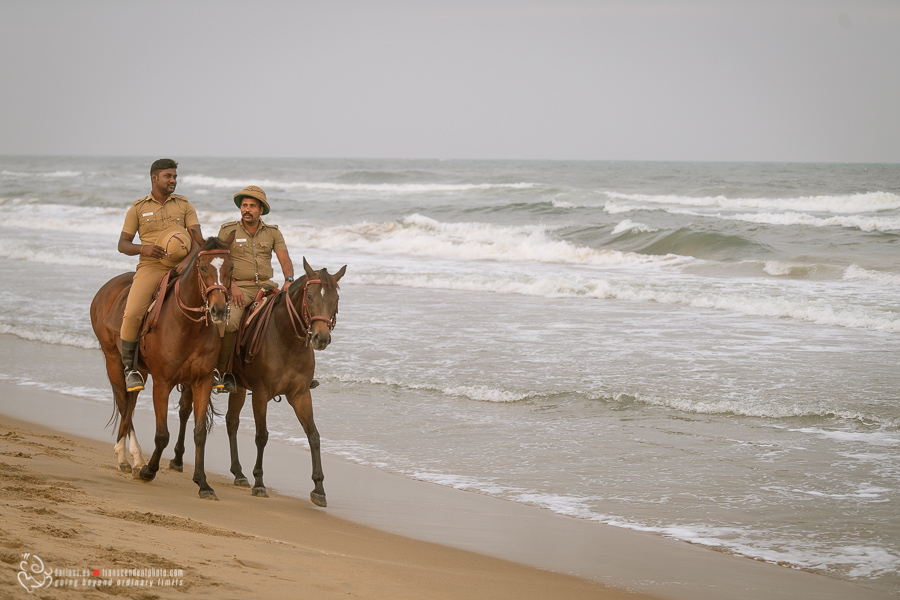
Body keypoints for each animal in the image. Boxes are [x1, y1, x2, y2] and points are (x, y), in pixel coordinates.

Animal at [89, 237, 232, 500]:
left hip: (140, 370)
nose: (218, 310)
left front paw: (203, 483)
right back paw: (126, 458)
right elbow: (162, 434)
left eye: (232, 267)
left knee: (130, 403)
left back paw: (134, 459)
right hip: (113, 359)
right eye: (203, 267)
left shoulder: (203, 381)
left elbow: (199, 433)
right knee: (124, 403)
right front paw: (149, 471)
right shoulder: (162, 383)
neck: (188, 325)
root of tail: (106, 288)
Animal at [170, 258, 344, 506]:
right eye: (310, 296)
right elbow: (262, 436)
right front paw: (259, 483)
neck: (287, 338)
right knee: (185, 412)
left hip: (239, 388)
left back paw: (238, 473)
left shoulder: (301, 394)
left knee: (232, 422)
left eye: (335, 299)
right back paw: (177, 459)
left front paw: (319, 488)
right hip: (192, 380)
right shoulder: (261, 395)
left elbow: (314, 436)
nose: (321, 338)